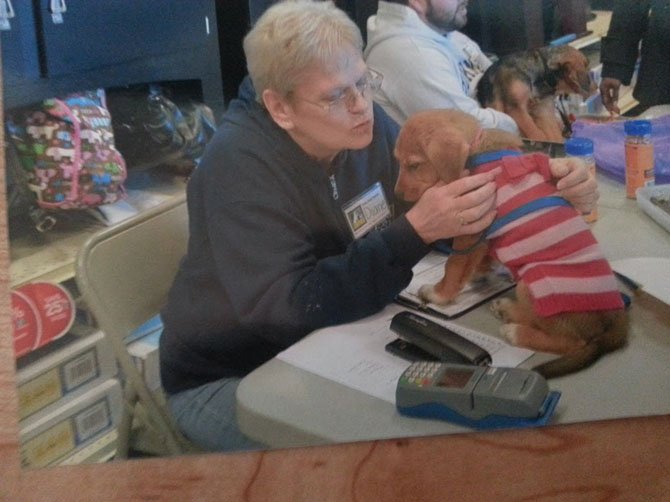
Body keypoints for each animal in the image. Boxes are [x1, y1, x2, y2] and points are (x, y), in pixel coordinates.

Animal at [394, 109, 632, 376]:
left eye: (414, 165)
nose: (396, 195)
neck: (477, 149)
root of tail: (612, 322)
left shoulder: (469, 228)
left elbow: (453, 266)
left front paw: (438, 294)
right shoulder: (481, 230)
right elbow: (478, 256)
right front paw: (480, 272)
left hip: (533, 285)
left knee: (569, 341)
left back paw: (515, 329)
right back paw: (507, 310)